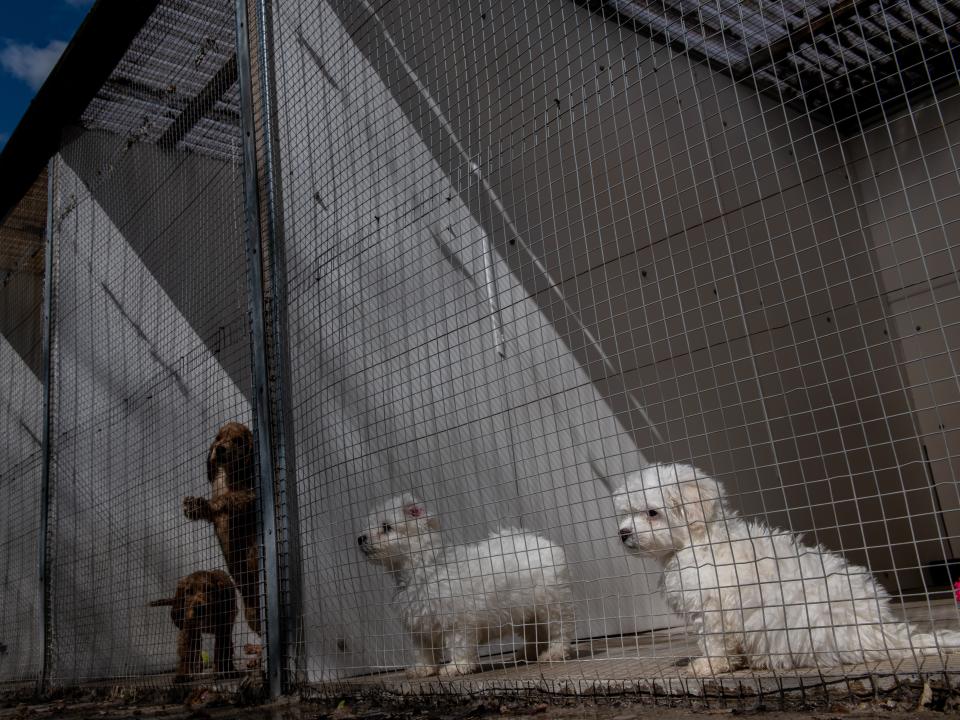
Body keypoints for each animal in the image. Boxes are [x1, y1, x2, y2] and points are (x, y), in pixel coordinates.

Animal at [181, 422, 258, 636]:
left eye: (238, 440)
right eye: (218, 438)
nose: (220, 449)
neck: (230, 475)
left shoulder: (251, 495)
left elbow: (227, 499)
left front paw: (202, 503)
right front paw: (195, 507)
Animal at [356, 492, 572, 676]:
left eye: (386, 527)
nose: (360, 538)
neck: (426, 568)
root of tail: (537, 541)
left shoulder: (456, 622)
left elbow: (458, 646)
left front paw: (456, 667)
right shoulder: (419, 626)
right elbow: (424, 650)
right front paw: (423, 669)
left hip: (551, 604)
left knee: (559, 630)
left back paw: (554, 653)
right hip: (525, 613)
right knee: (535, 634)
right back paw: (526, 654)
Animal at [612, 462, 956, 676]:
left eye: (652, 513)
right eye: (626, 513)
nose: (623, 533)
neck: (698, 539)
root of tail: (884, 631)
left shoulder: (710, 606)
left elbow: (713, 640)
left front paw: (708, 666)